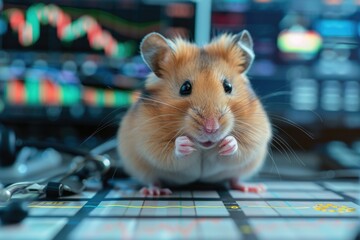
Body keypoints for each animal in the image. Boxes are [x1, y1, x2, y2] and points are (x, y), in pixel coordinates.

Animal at [116, 30, 272, 195]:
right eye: (185, 88)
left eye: (228, 86)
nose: (211, 128)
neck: (204, 147)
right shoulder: (150, 140)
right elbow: (170, 153)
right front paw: (184, 143)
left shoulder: (254, 137)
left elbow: (239, 149)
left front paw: (228, 143)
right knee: (153, 180)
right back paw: (154, 191)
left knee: (234, 179)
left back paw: (253, 188)